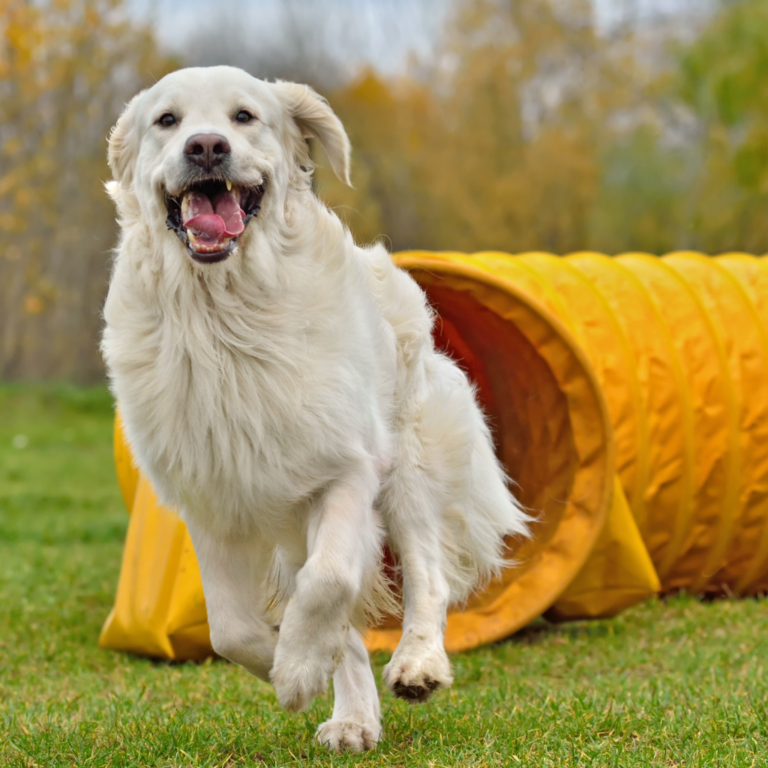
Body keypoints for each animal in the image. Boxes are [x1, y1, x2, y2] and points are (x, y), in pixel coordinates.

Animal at [102, 69, 532, 752]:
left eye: (244, 116)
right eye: (167, 121)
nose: (206, 147)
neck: (224, 313)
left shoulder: (345, 470)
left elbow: (330, 581)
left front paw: (299, 668)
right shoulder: (213, 499)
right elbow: (232, 629)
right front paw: (293, 668)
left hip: (408, 467)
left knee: (426, 574)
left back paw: (417, 665)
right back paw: (353, 718)